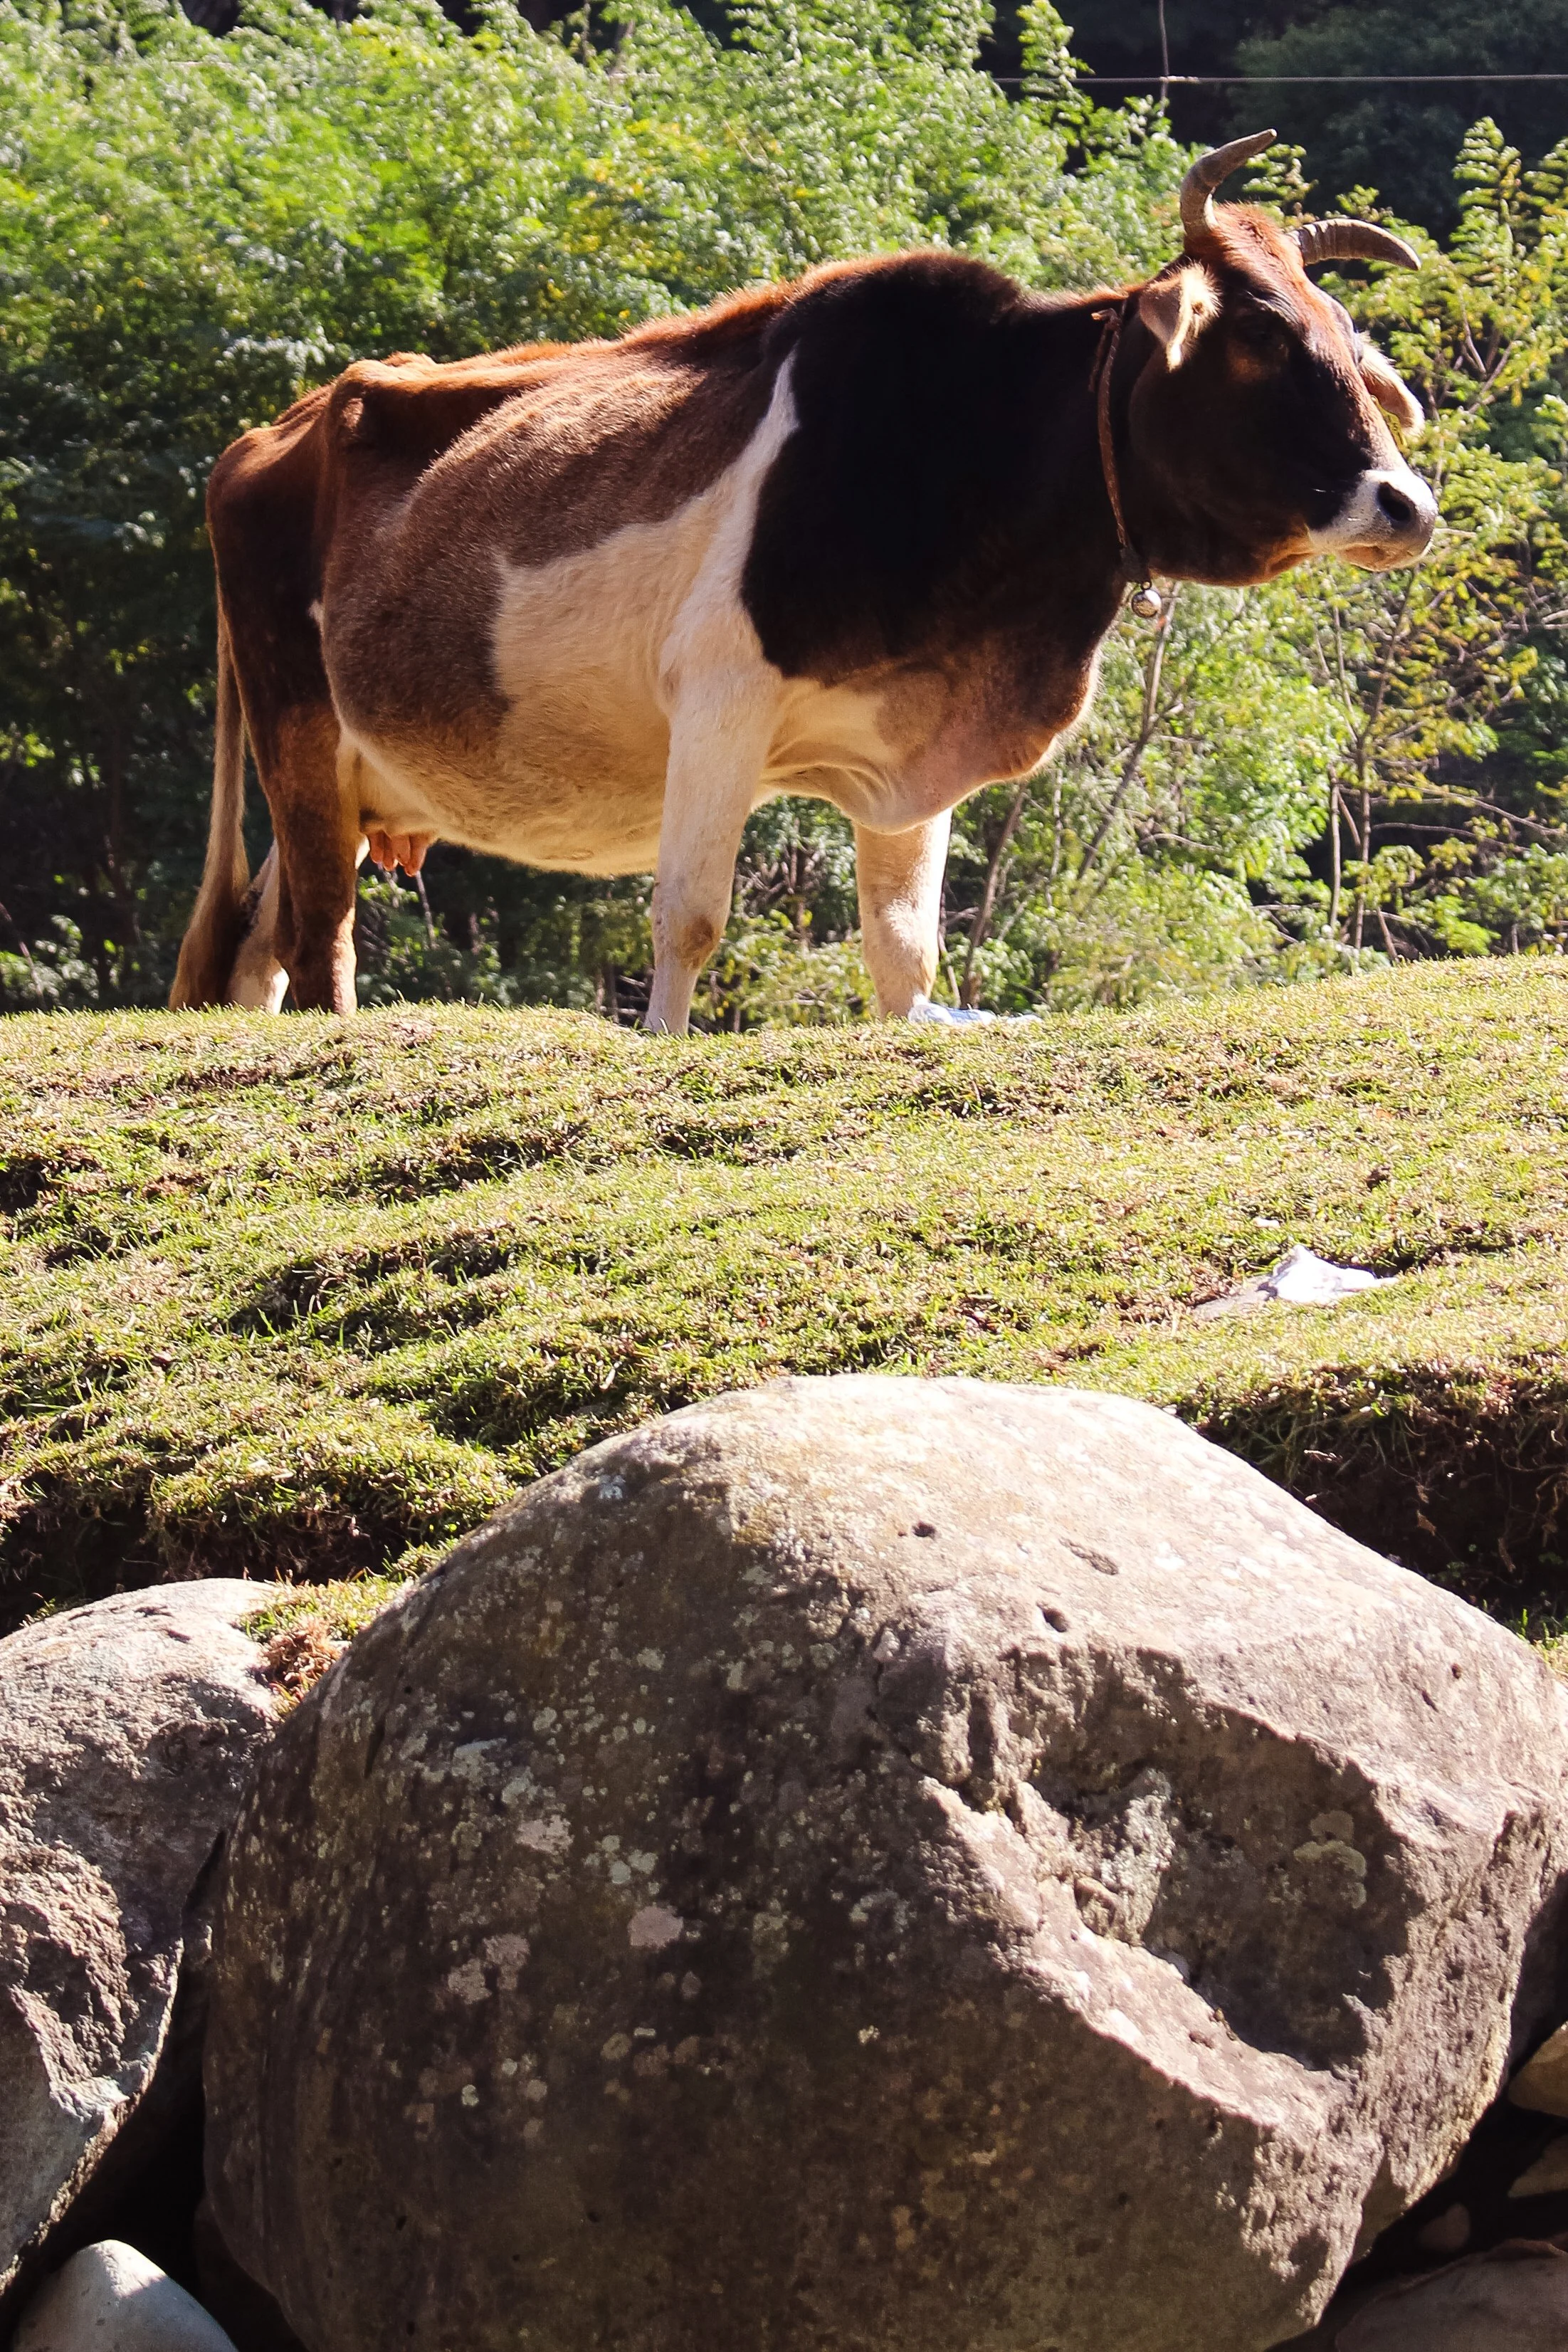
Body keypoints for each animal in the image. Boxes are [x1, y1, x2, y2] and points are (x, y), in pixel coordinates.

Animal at [170, 132, 1435, 1030]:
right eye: (1257, 335)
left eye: (1344, 333)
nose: (1404, 503)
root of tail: (274, 431)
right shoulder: (719, 698)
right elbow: (687, 919)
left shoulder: (912, 748)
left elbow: (902, 952)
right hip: (295, 726)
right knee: (319, 939)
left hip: (349, 771)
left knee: (257, 950)